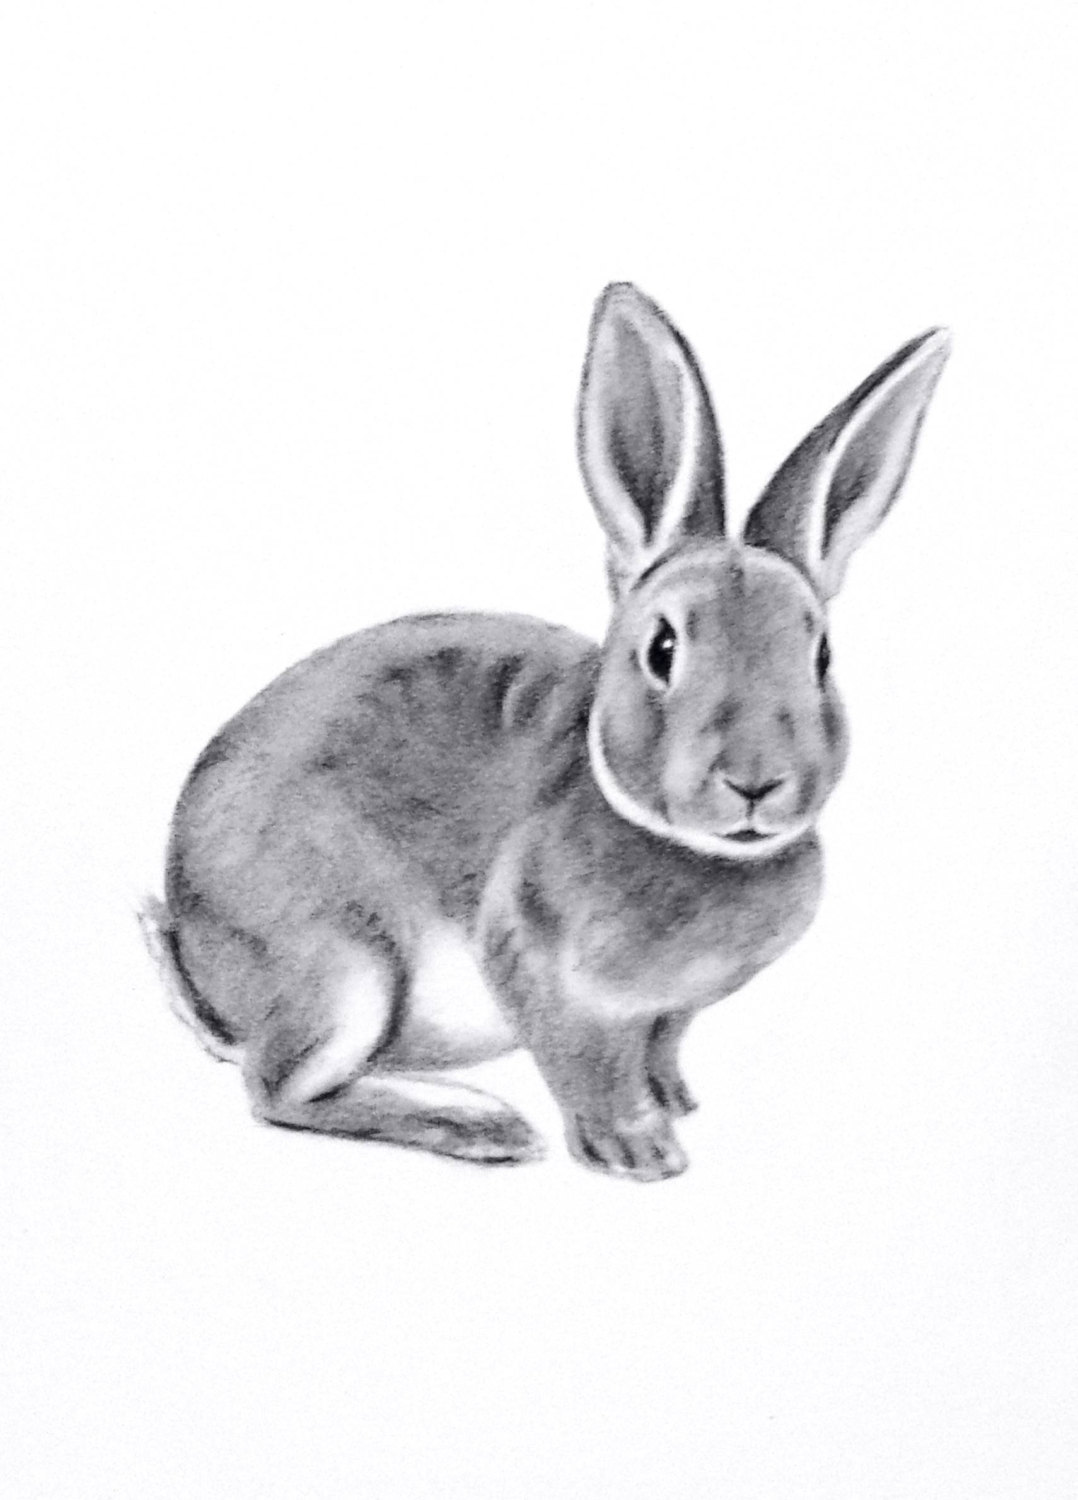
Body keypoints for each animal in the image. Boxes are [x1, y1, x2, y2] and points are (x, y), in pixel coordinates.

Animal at [142, 282, 950, 1182]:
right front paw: (638, 1151)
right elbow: (585, 1066)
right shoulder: (545, 973)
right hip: (341, 970)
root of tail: (200, 960)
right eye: (662, 649)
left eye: (822, 656)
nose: (756, 781)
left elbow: (660, 1045)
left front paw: (676, 1102)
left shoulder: (667, 1014)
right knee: (279, 1090)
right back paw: (479, 1123)